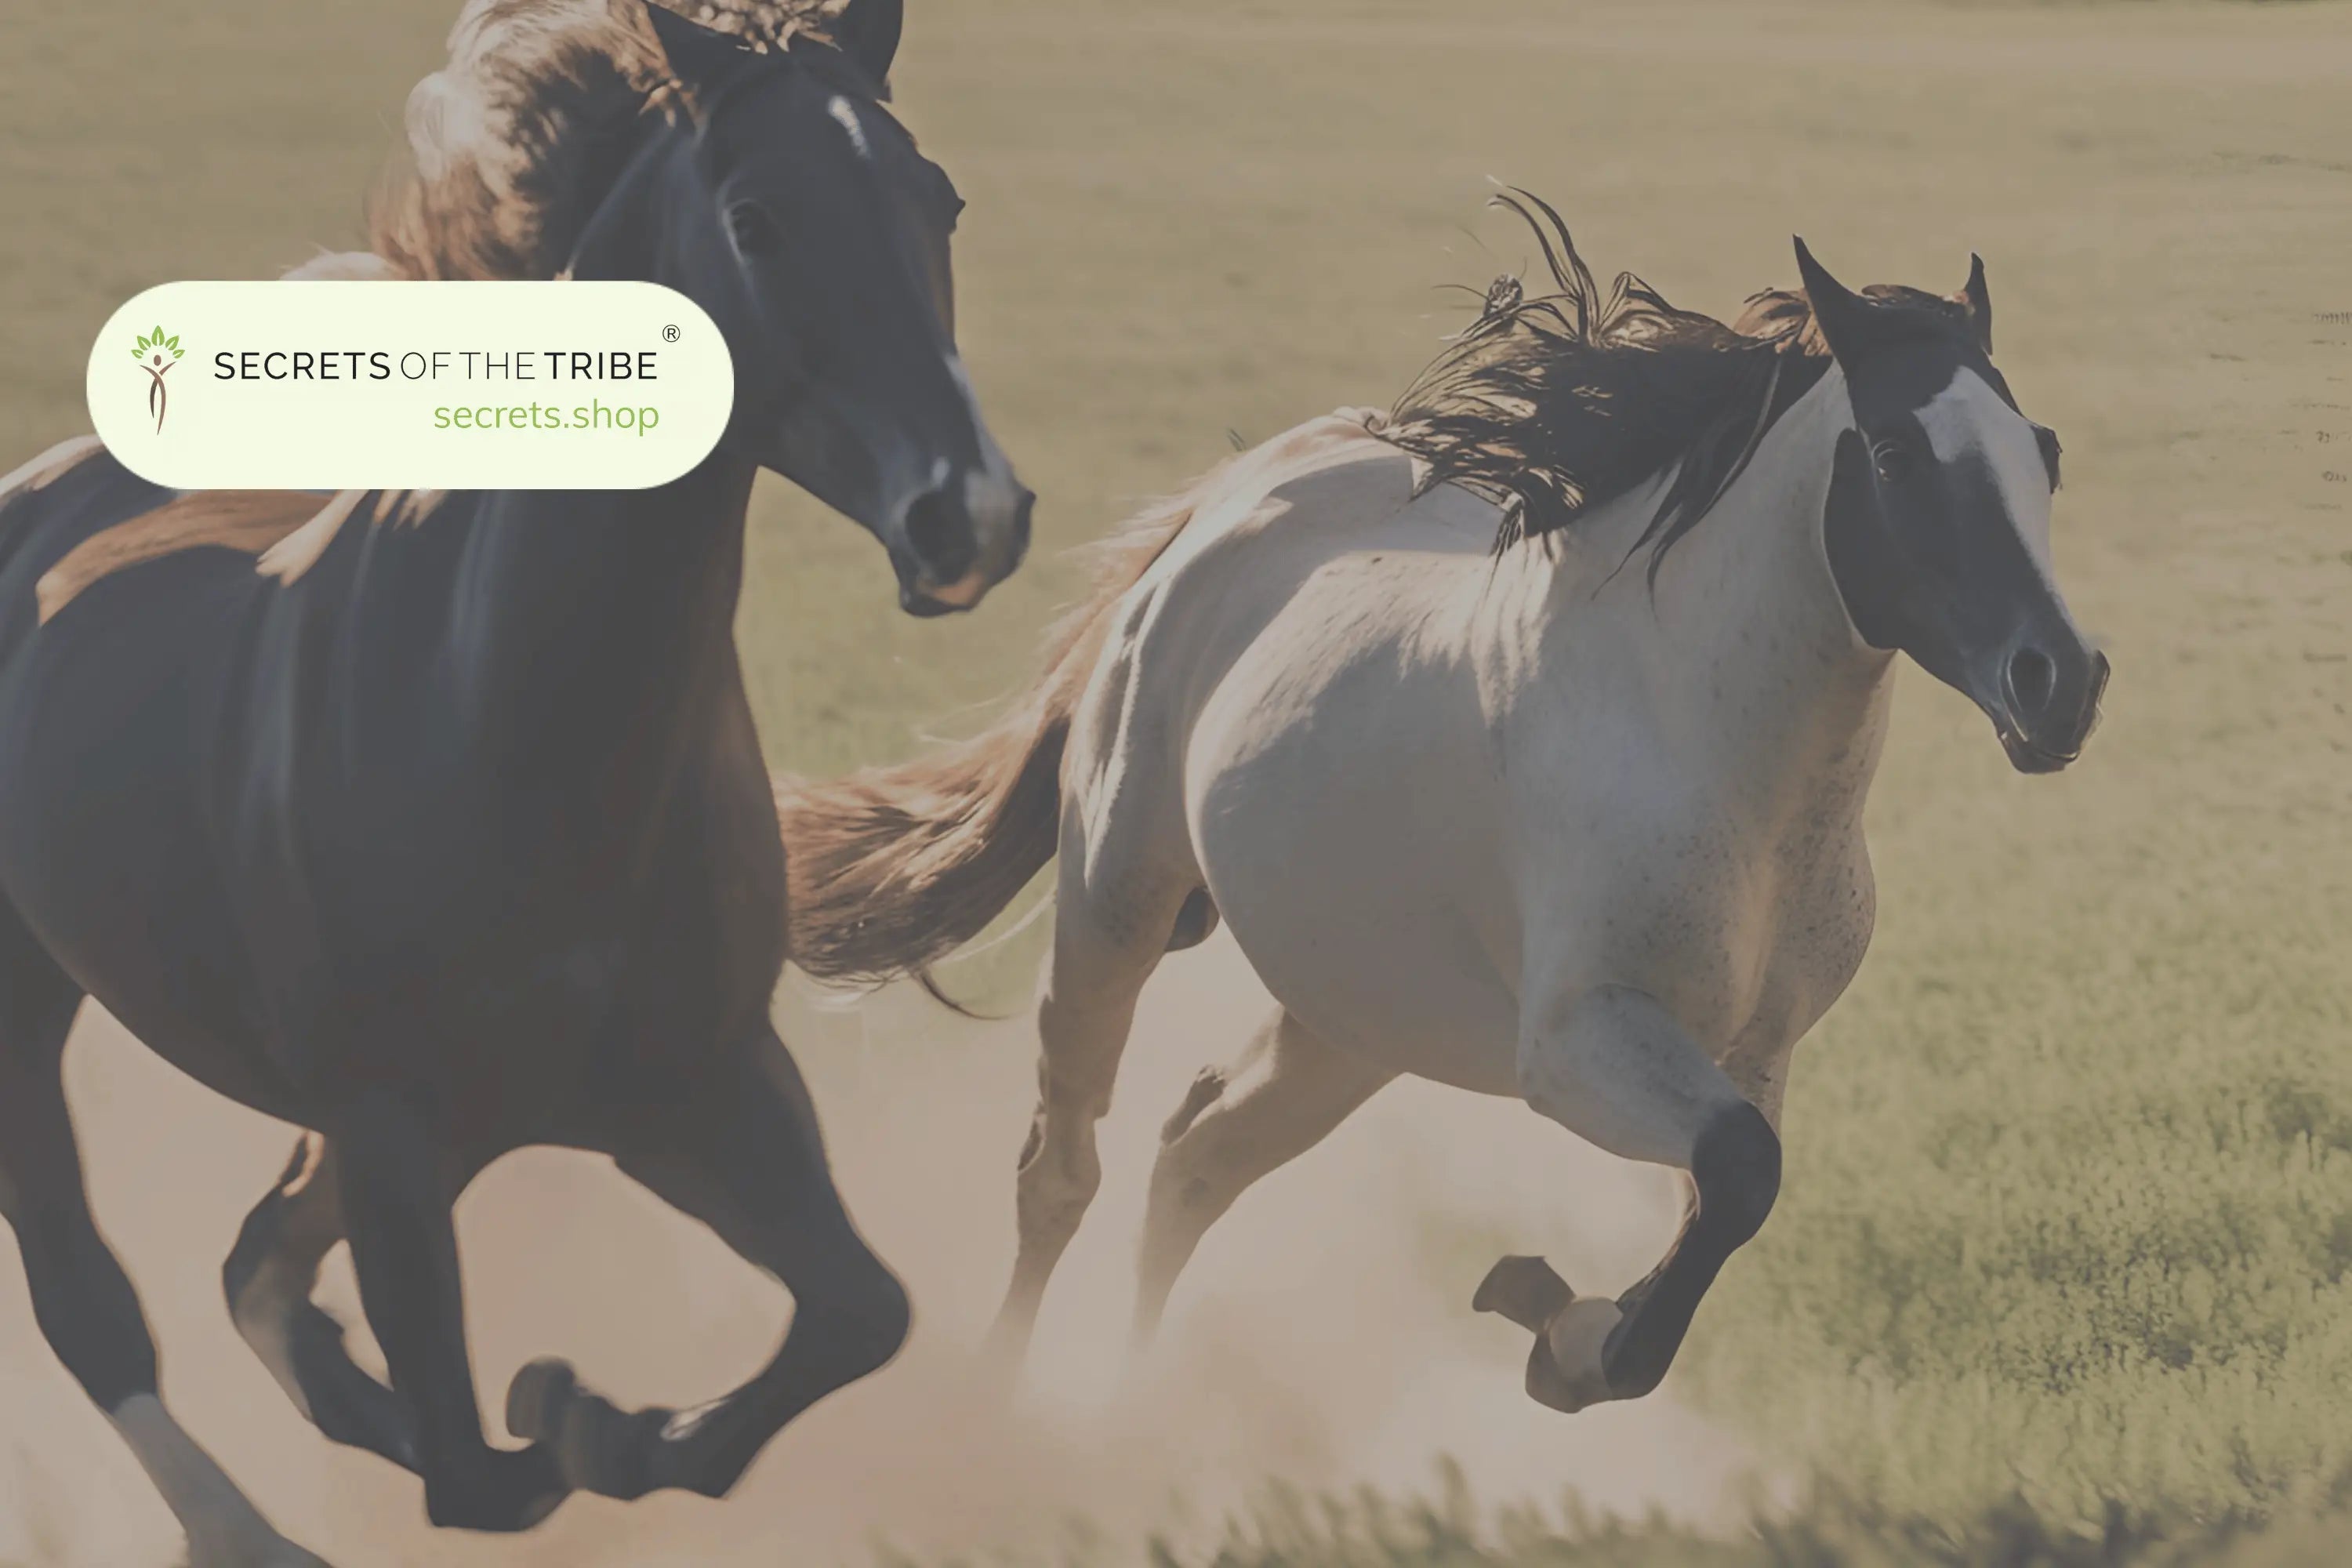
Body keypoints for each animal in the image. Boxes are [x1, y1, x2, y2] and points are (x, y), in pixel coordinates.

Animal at [0, 2, 1028, 1561]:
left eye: (941, 198)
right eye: (756, 218)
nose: (968, 515)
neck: (511, 728)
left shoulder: (701, 1089)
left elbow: (862, 1311)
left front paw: (616, 1425)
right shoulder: (395, 1136)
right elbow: (477, 1478)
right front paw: (567, 1418)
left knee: (257, 1262)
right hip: (27, 1013)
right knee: (92, 1297)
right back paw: (254, 1529)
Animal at [772, 198, 2109, 1418]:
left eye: (2041, 449)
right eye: (1894, 455)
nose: (2062, 681)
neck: (1713, 758)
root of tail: (1228, 508)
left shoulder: (1757, 1050)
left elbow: (1725, 1204)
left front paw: (1560, 1326)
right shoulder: (1574, 1045)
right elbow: (1736, 1179)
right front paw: (1552, 1326)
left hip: (1352, 1016)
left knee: (1197, 1160)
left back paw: (1133, 1410)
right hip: (1116, 900)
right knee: (1063, 1167)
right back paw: (1001, 1408)